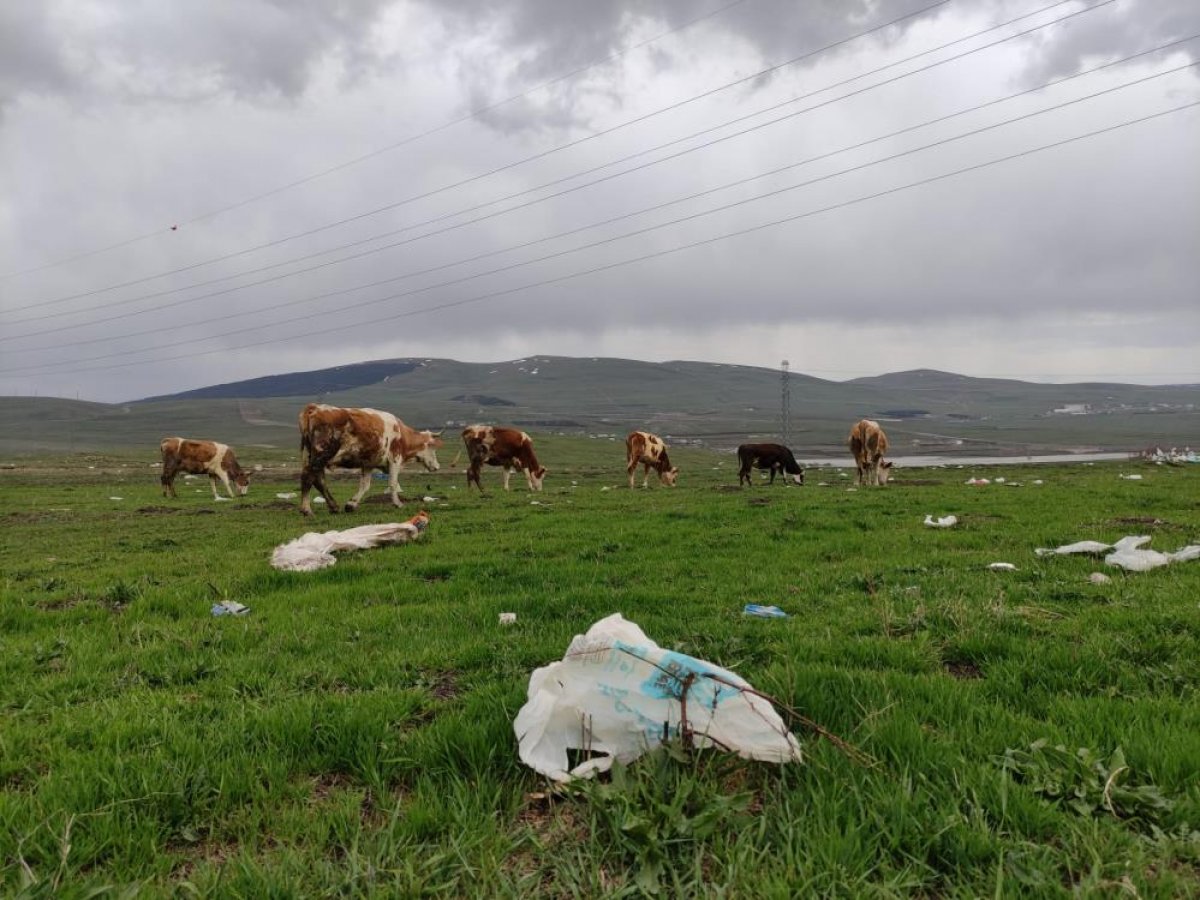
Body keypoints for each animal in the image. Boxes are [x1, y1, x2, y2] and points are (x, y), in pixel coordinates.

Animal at [300, 405, 446, 518]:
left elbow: (365, 485)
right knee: (309, 477)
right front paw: (398, 503)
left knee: (318, 480)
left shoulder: (368, 464)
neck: (402, 434)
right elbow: (393, 483)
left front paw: (351, 505)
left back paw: (333, 506)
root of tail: (315, 408)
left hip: (311, 456)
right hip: (321, 456)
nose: (437, 466)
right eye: (433, 447)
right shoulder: (395, 459)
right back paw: (307, 510)